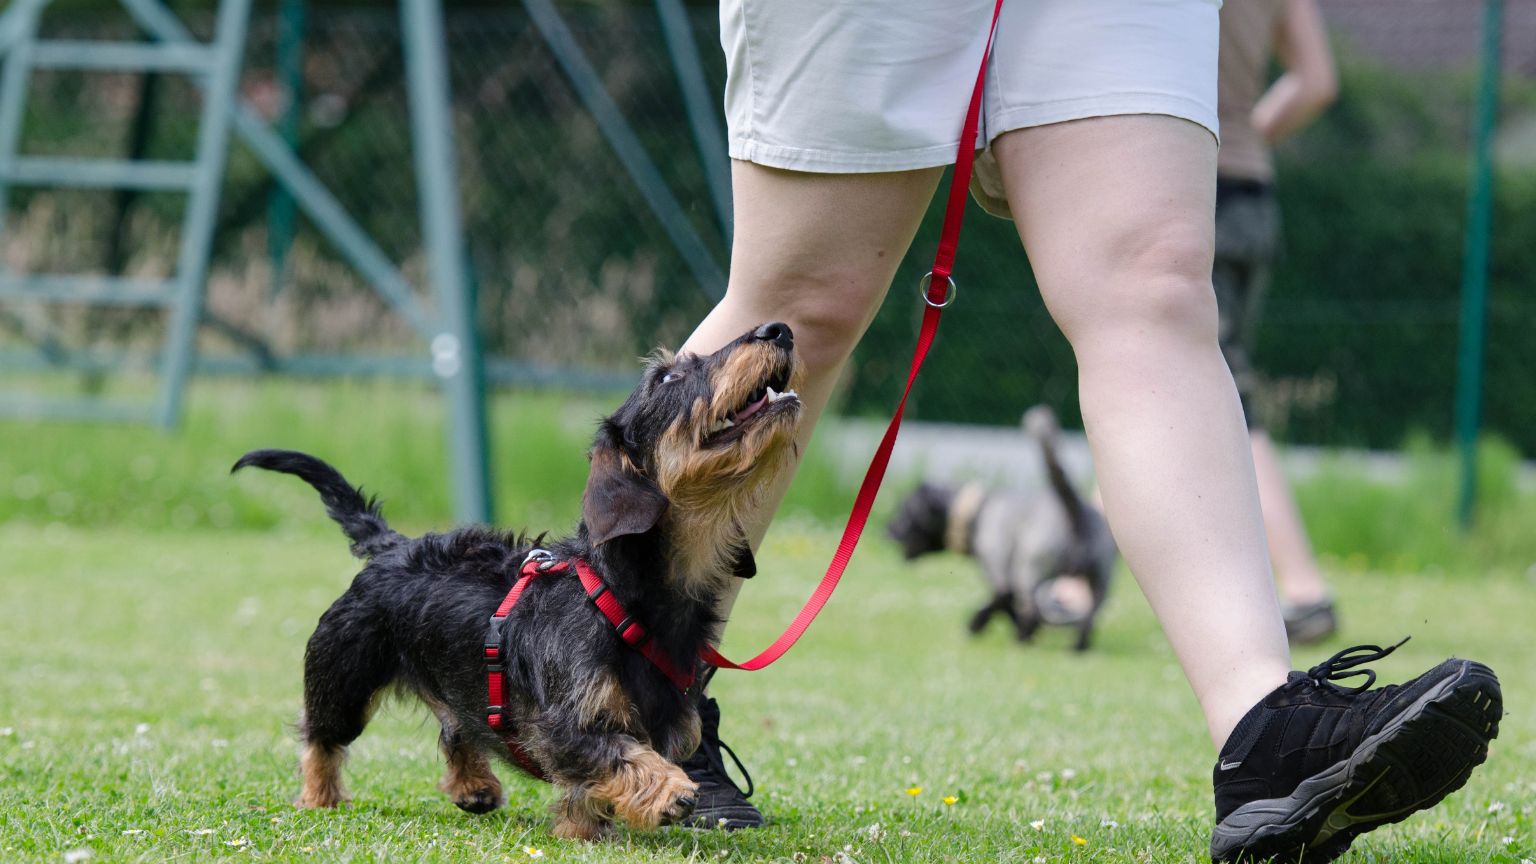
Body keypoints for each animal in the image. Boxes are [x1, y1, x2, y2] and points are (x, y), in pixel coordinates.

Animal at [233, 321, 804, 836]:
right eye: (666, 377)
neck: (621, 595)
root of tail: (392, 546)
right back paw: (320, 796)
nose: (778, 329)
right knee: (320, 738)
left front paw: (581, 829)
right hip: (343, 677)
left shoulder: (670, 724)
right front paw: (669, 791)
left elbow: (593, 785)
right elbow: (620, 755)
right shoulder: (562, 726)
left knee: (457, 727)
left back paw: (473, 786)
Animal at [890, 405, 1118, 648]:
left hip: (1030, 571)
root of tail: (1075, 509)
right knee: (1089, 616)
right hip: (1099, 580)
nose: (887, 529)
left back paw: (1022, 637)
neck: (976, 511)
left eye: (904, 512)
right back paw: (1077, 646)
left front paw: (977, 624)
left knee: (1032, 608)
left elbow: (1002, 602)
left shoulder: (999, 572)